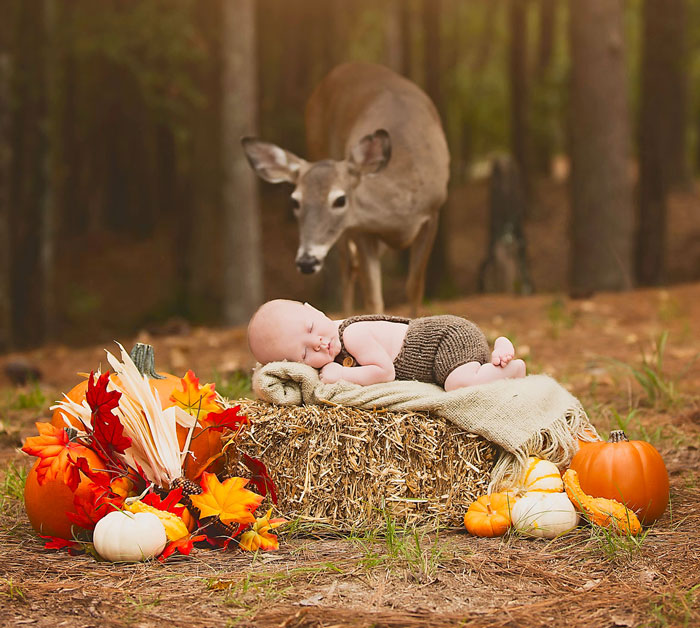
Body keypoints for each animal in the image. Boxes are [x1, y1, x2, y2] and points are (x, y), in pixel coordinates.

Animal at [241, 61, 450, 315]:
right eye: (295, 201)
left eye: (340, 200)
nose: (307, 262)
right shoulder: (360, 228)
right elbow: (373, 298)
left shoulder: (432, 213)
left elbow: (414, 287)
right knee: (348, 267)